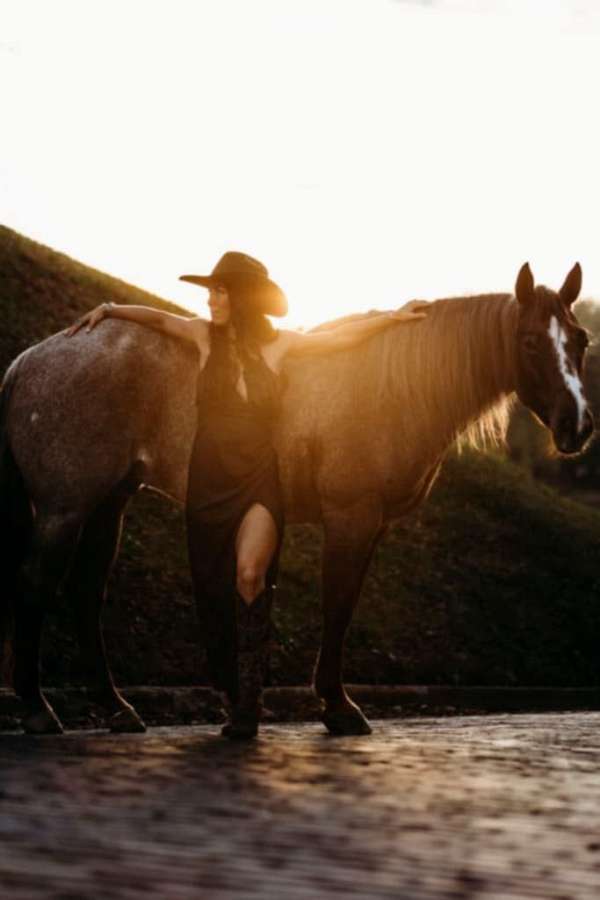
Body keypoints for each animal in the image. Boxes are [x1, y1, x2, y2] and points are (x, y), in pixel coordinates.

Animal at [0, 258, 592, 732]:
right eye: (531, 341)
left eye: (581, 341)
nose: (578, 426)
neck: (389, 388)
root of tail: (29, 360)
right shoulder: (351, 516)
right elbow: (338, 604)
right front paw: (338, 707)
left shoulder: (372, 525)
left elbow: (342, 604)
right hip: (64, 509)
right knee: (34, 585)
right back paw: (37, 710)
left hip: (110, 501)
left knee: (84, 593)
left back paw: (117, 709)